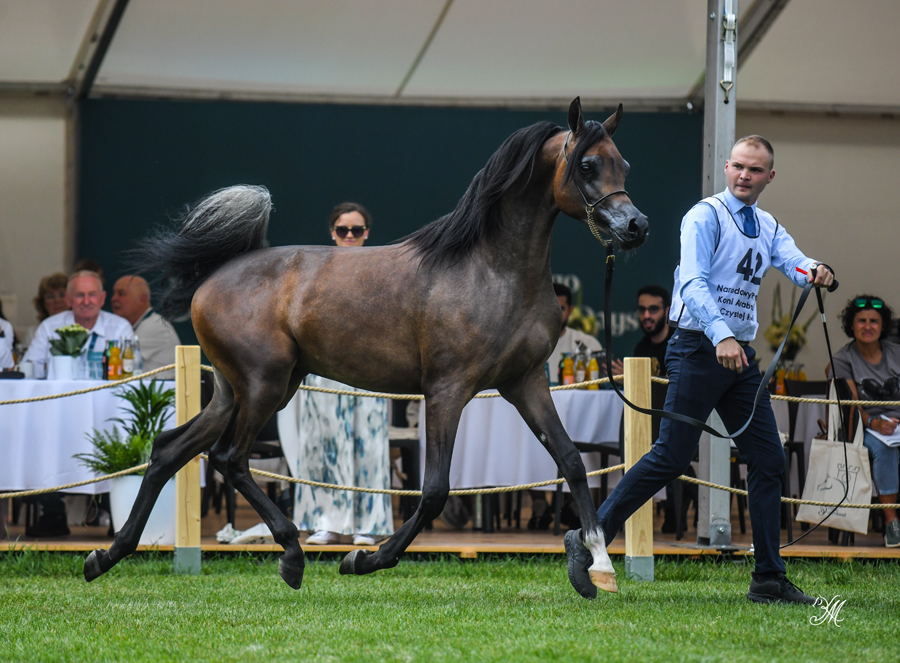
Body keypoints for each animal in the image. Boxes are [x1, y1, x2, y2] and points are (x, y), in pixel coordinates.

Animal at [84, 94, 648, 596]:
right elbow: (434, 490)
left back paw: (105, 557)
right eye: (588, 164)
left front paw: (598, 567)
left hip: (236, 390)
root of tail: (216, 274)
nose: (635, 226)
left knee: (167, 450)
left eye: (623, 163)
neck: (492, 271)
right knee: (230, 459)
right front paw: (364, 558)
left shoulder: (524, 383)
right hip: (264, 385)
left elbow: (572, 460)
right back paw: (291, 555)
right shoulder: (447, 390)